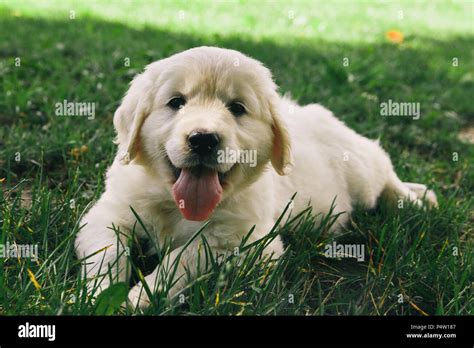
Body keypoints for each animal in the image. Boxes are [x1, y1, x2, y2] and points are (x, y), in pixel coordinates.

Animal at [75, 46, 436, 310]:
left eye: (237, 108)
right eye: (176, 102)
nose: (203, 139)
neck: (174, 203)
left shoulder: (246, 241)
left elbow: (184, 256)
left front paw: (140, 296)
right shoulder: (109, 213)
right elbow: (105, 254)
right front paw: (98, 295)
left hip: (362, 172)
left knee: (384, 172)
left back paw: (418, 199)